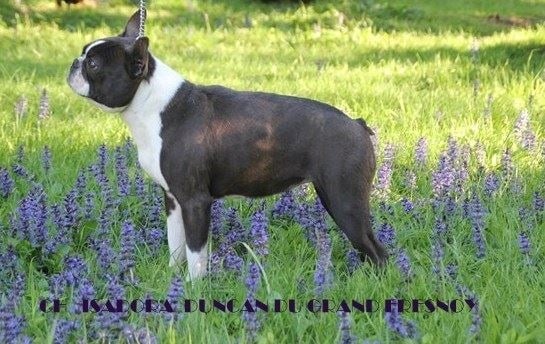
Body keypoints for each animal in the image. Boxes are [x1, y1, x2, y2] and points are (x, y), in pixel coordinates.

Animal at [68, 10, 386, 280]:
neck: (150, 104)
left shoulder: (195, 201)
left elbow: (196, 252)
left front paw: (192, 288)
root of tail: (356, 124)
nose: (74, 63)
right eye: (84, 53)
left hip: (344, 201)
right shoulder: (173, 199)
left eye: (93, 64)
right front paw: (172, 277)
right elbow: (176, 244)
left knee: (377, 251)